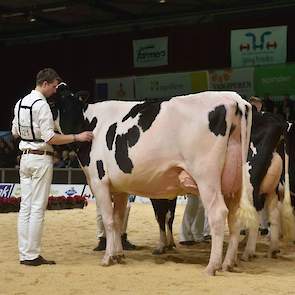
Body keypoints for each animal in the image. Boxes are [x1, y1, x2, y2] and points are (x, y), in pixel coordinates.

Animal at [53, 84, 256, 276]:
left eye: (54, 103)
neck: (89, 121)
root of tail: (232, 97)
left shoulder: (99, 181)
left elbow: (109, 221)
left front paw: (107, 257)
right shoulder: (120, 188)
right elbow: (118, 221)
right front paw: (119, 255)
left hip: (206, 177)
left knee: (218, 214)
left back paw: (212, 266)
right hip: (233, 182)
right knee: (234, 218)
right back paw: (228, 263)